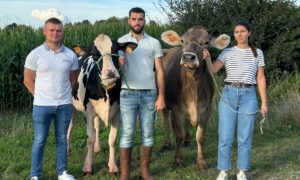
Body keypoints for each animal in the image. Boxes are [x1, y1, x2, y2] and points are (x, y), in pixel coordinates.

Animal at [67, 34, 136, 175]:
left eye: (115, 50)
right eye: (94, 54)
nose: (109, 73)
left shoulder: (117, 113)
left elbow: (112, 139)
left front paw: (113, 166)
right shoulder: (88, 113)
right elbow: (90, 138)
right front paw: (87, 167)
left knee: (97, 125)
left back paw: (97, 147)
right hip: (71, 107)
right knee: (69, 129)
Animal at [162, 25, 230, 169]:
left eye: (206, 42)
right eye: (182, 40)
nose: (188, 57)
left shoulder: (206, 108)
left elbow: (200, 136)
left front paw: (201, 162)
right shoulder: (175, 108)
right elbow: (178, 135)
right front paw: (178, 160)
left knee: (186, 122)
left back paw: (187, 141)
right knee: (166, 120)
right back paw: (166, 144)